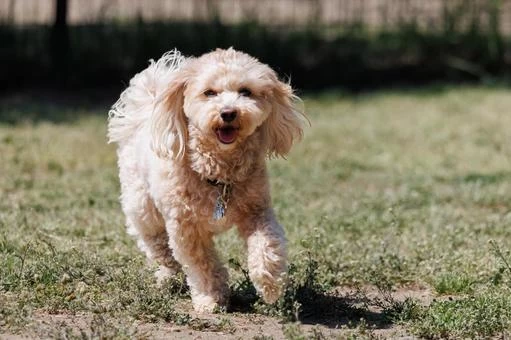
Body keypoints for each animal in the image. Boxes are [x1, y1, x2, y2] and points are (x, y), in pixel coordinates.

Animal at [108, 47, 308, 314]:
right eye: (209, 92)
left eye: (245, 91)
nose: (228, 113)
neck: (219, 175)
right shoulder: (186, 228)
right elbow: (202, 264)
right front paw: (210, 299)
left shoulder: (257, 211)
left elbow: (267, 243)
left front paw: (270, 283)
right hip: (142, 205)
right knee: (156, 242)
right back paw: (167, 272)